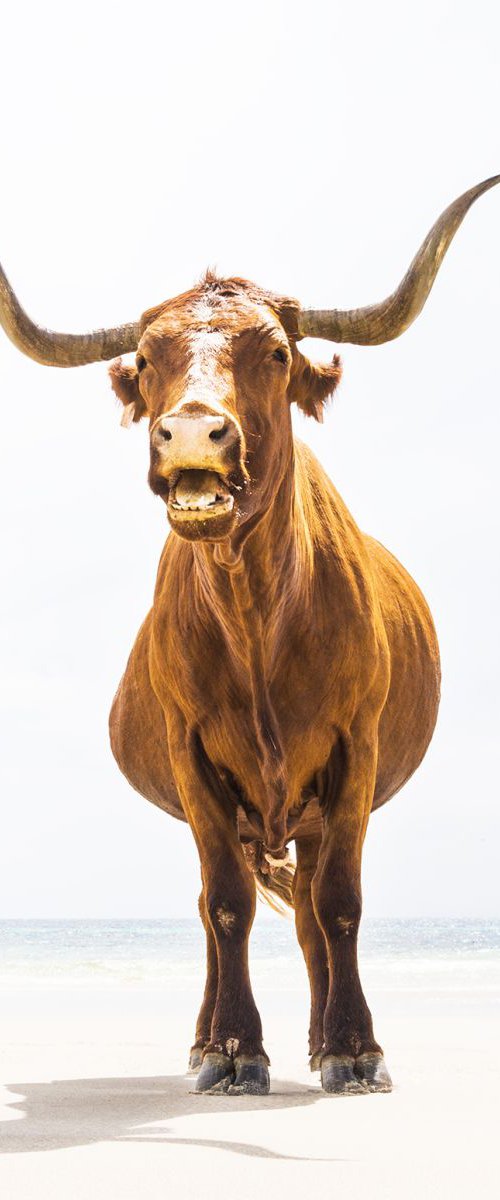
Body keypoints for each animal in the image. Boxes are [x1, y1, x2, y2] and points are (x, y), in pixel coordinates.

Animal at [0, 177, 494, 1099]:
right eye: (147, 358)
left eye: (273, 353)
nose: (193, 431)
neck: (257, 614)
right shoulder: (194, 762)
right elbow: (226, 903)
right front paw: (233, 1050)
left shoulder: (355, 751)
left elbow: (339, 904)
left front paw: (352, 1047)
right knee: (213, 907)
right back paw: (207, 1042)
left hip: (313, 811)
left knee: (308, 913)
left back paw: (323, 1036)